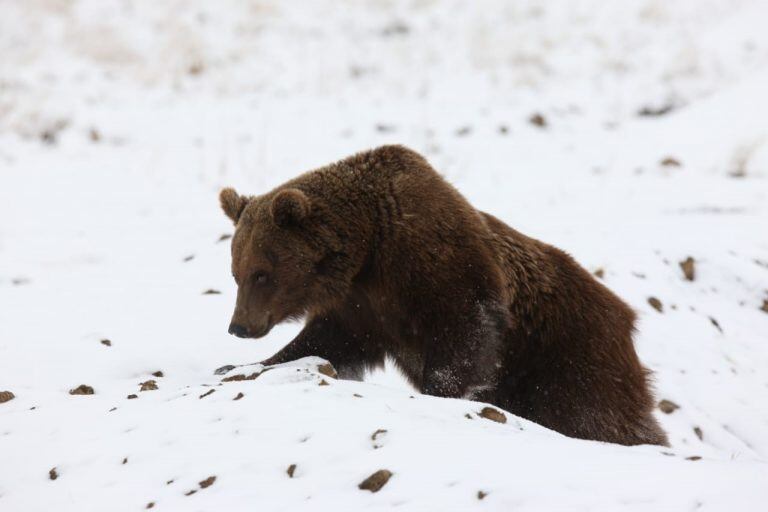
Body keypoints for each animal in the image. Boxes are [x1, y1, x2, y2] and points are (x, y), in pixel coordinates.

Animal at [216, 144, 664, 444]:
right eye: (236, 272)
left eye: (262, 273)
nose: (239, 326)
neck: (368, 248)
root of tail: (627, 319)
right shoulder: (360, 307)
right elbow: (326, 342)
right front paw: (245, 365)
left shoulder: (441, 270)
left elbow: (465, 334)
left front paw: (442, 391)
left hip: (569, 356)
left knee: (593, 415)